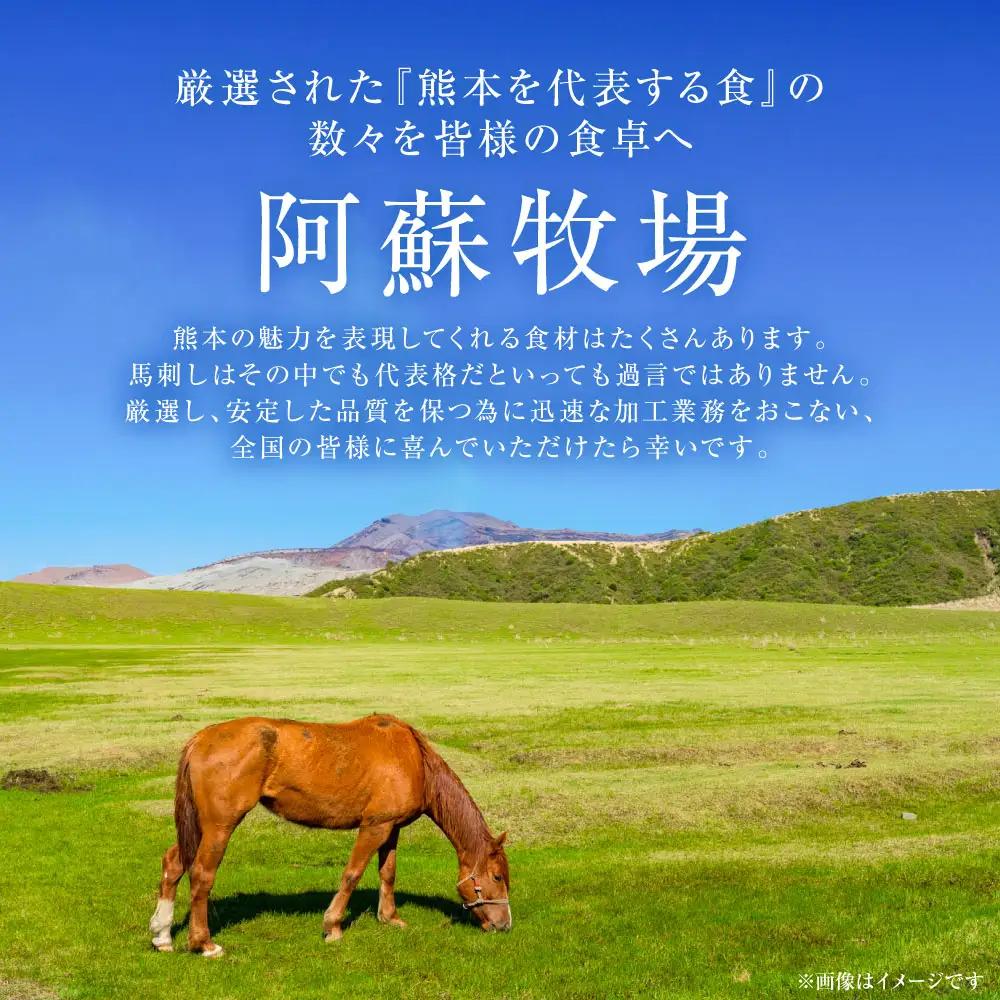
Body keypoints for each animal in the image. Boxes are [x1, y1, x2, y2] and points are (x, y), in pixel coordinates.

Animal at [149, 714, 511, 956]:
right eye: (496, 876)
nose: (504, 925)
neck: (414, 759)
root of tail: (201, 739)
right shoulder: (374, 826)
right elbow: (352, 874)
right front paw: (332, 926)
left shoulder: (391, 828)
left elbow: (388, 873)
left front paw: (389, 918)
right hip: (219, 826)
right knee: (201, 874)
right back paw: (203, 943)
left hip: (200, 826)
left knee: (174, 864)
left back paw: (162, 935)